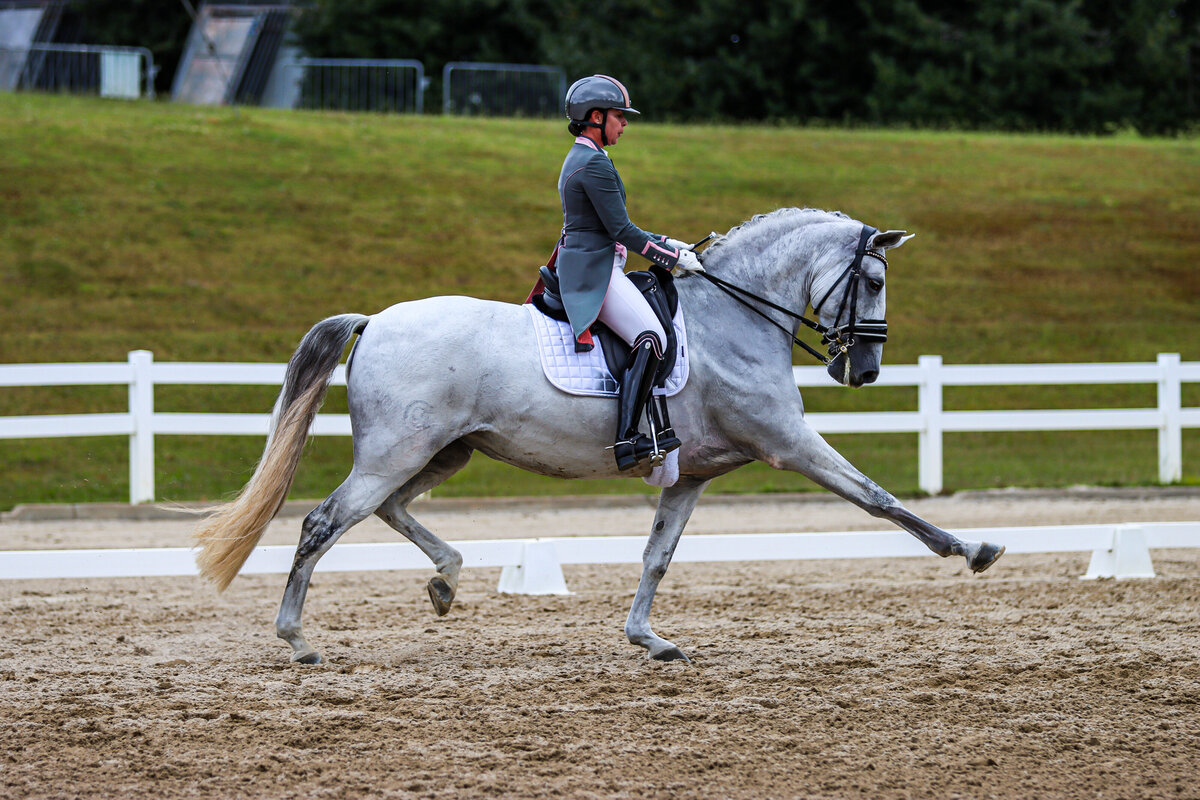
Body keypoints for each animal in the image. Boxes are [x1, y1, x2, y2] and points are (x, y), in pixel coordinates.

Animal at [195, 208, 1005, 665]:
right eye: (873, 280)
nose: (863, 370)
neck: (732, 317)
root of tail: (374, 319)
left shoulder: (691, 474)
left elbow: (657, 555)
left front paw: (649, 640)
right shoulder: (788, 442)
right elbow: (877, 498)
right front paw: (971, 549)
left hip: (443, 452)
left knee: (387, 509)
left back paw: (446, 580)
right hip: (399, 451)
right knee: (323, 522)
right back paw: (298, 641)